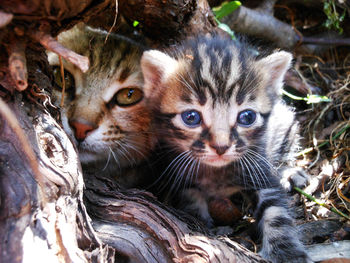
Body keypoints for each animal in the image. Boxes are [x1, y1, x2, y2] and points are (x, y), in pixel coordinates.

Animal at [141, 35, 310, 263]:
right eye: (191, 117)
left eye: (247, 117)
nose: (220, 146)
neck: (217, 173)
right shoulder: (182, 177)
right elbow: (191, 202)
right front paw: (202, 226)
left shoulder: (259, 169)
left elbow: (275, 212)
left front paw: (287, 252)